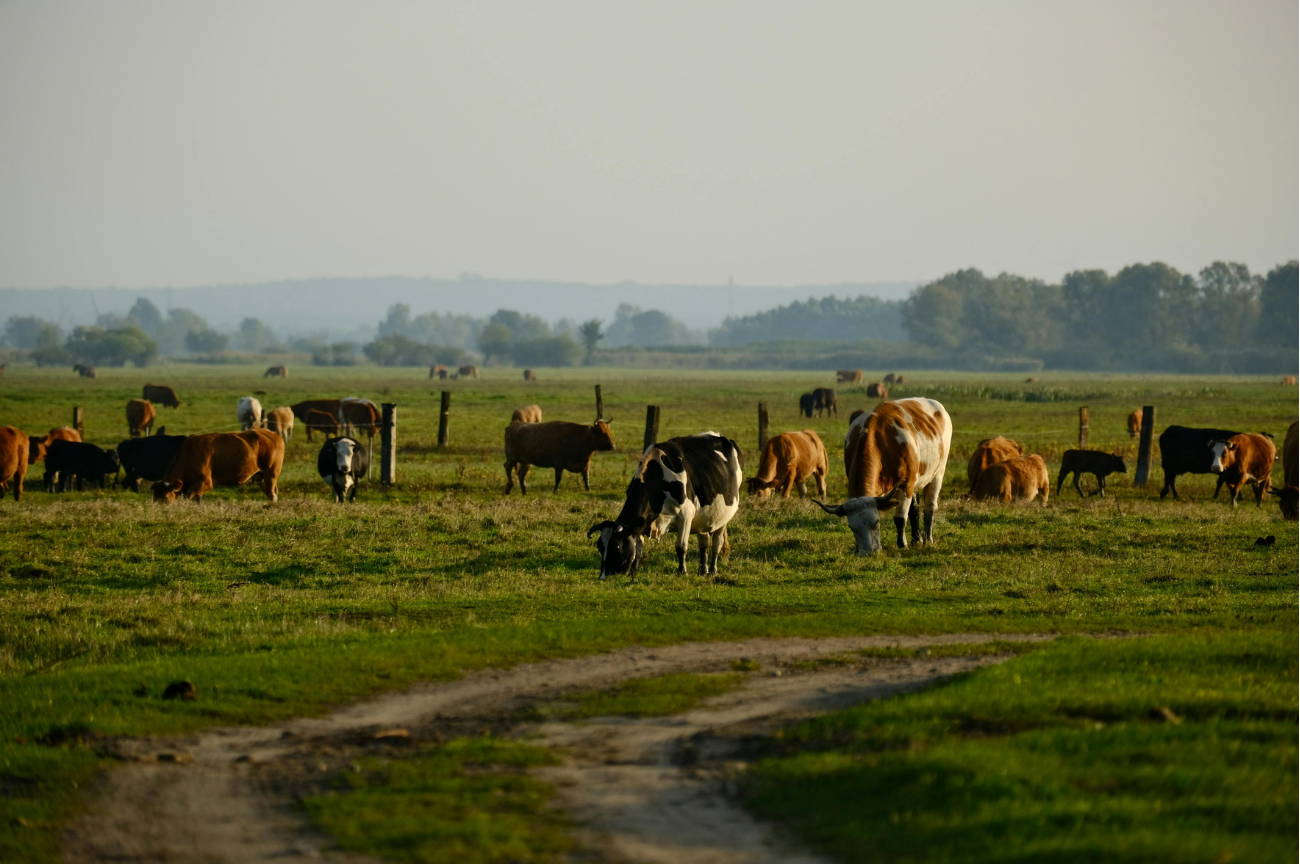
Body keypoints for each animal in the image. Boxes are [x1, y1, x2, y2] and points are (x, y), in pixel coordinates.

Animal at [152, 429, 284, 503]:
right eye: (154, 499)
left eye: (165, 499)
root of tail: (273, 433)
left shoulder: (205, 482)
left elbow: (187, 496)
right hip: (262, 477)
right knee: (270, 493)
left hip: (271, 473)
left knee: (272, 494)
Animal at [588, 432, 743, 578]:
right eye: (600, 547)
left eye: (617, 546)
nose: (603, 576)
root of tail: (724, 438)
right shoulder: (643, 521)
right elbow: (638, 550)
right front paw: (634, 571)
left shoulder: (686, 516)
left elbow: (681, 547)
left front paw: (682, 572)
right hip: (704, 516)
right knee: (704, 543)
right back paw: (702, 570)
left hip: (723, 517)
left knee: (717, 543)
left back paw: (712, 571)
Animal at [815, 398, 952, 553]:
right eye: (852, 528)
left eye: (876, 522)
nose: (867, 552)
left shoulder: (905, 485)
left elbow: (900, 518)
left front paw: (902, 544)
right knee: (915, 509)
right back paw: (916, 540)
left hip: (937, 474)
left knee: (929, 507)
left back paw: (928, 539)